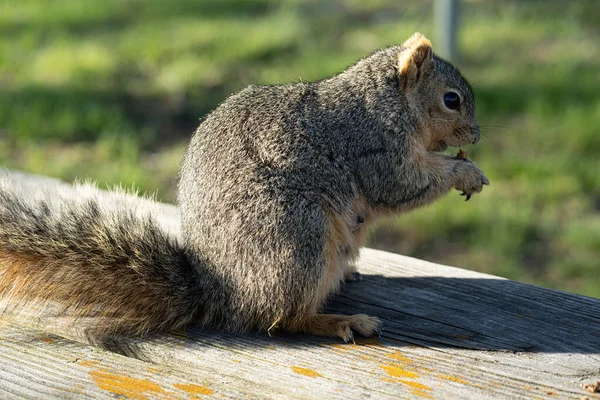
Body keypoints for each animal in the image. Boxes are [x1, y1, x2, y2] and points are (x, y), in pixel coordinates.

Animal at [0, 33, 488, 344]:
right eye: (451, 100)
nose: (476, 135)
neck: (389, 102)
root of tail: (223, 293)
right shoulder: (373, 145)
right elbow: (403, 185)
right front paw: (465, 173)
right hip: (297, 236)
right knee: (283, 318)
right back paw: (340, 322)